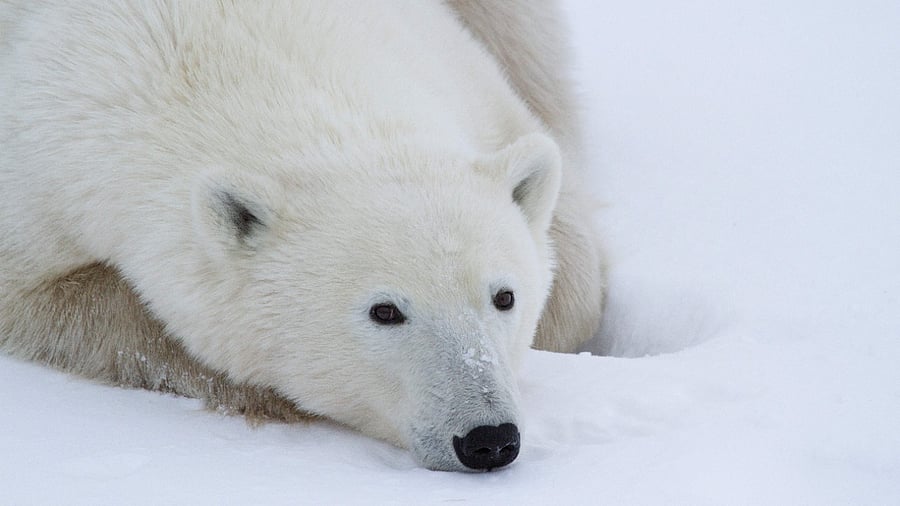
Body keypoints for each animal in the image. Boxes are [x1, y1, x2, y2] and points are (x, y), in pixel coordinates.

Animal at [0, 0, 605, 471]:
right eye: (385, 311)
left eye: (504, 297)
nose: (487, 439)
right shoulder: (40, 172)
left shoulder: (461, 75)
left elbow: (570, 271)